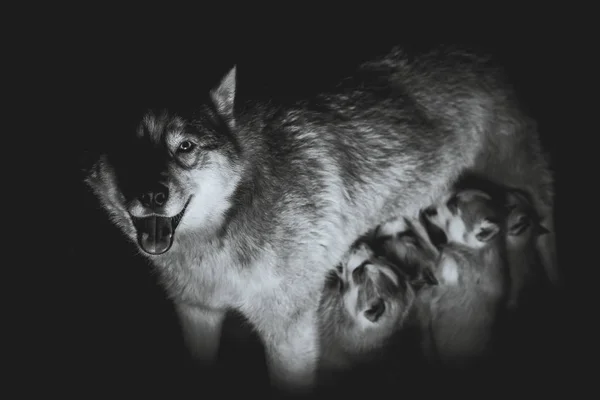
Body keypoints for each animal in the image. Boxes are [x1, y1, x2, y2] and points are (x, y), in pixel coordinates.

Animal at [85, 47, 556, 394]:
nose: (152, 197)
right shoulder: (196, 314)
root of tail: (478, 55)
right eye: (127, 150)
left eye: (185, 147)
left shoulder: (289, 336)